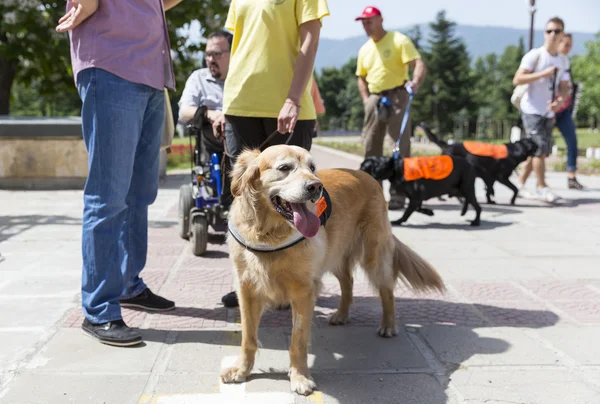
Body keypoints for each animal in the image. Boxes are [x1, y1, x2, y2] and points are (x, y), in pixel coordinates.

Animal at [221, 144, 446, 394]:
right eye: (284, 168)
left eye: (312, 167)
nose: (315, 186)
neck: (268, 232)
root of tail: (369, 177)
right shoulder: (247, 288)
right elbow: (248, 337)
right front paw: (241, 369)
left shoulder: (304, 290)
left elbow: (298, 340)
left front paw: (299, 377)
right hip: (336, 254)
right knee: (348, 282)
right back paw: (341, 314)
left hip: (373, 254)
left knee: (387, 289)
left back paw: (388, 324)